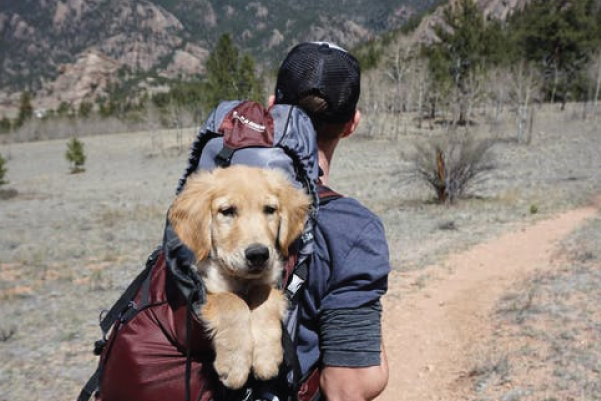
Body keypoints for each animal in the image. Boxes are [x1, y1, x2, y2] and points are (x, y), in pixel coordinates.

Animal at [168, 164, 310, 390]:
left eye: (269, 210)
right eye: (227, 211)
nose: (258, 254)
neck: (242, 280)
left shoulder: (270, 281)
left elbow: (264, 295)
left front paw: (266, 357)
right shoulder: (205, 290)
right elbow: (232, 301)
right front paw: (235, 365)